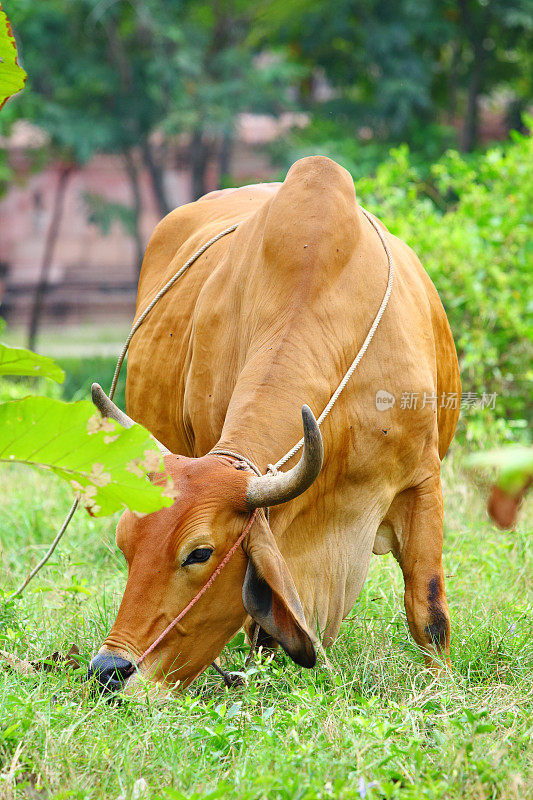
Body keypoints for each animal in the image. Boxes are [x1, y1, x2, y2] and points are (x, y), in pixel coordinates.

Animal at [86, 156, 458, 692]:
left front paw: (440, 685)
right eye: (124, 543)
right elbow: (263, 625)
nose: (108, 671)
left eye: (199, 553)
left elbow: (428, 612)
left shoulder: (423, 480)